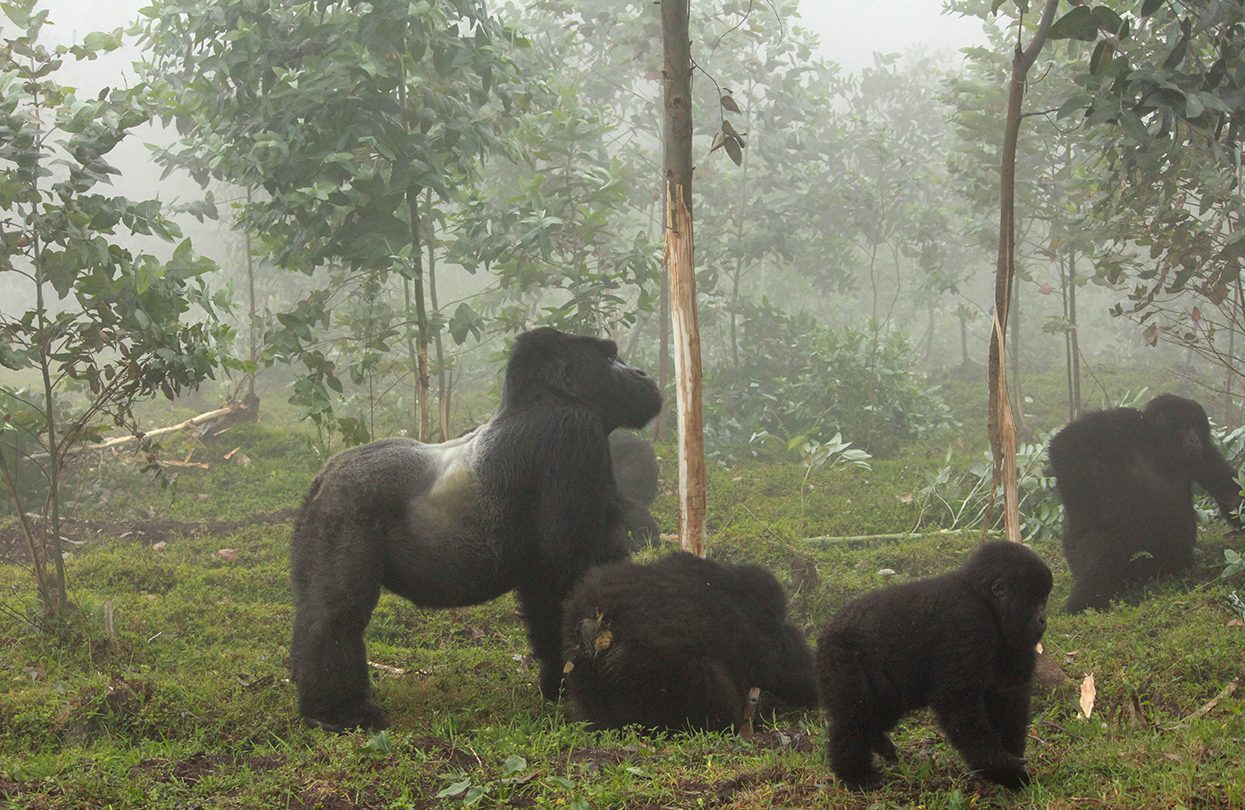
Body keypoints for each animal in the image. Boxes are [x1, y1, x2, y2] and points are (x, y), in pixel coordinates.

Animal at [291, 325, 667, 731]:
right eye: (610, 359)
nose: (642, 373)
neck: (543, 396)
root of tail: (325, 475)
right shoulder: (572, 434)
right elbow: (563, 572)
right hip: (346, 507)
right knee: (337, 616)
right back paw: (337, 709)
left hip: (319, 517)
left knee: (316, 607)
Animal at [816, 542, 1050, 791]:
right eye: (1035, 598)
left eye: (1044, 598)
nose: (1043, 619)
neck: (982, 599)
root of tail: (826, 631)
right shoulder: (969, 623)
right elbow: (958, 702)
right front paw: (1001, 768)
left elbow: (1009, 694)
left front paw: (1009, 759)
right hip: (838, 655)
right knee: (852, 715)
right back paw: (855, 774)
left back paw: (877, 743)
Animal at [1050, 395, 1245, 614]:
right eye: (1184, 426)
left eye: (1196, 426)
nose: (1195, 439)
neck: (1156, 447)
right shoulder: (1124, 424)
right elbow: (1067, 443)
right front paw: (1080, 519)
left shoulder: (1204, 452)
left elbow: (1229, 493)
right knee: (1105, 549)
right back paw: (1081, 605)